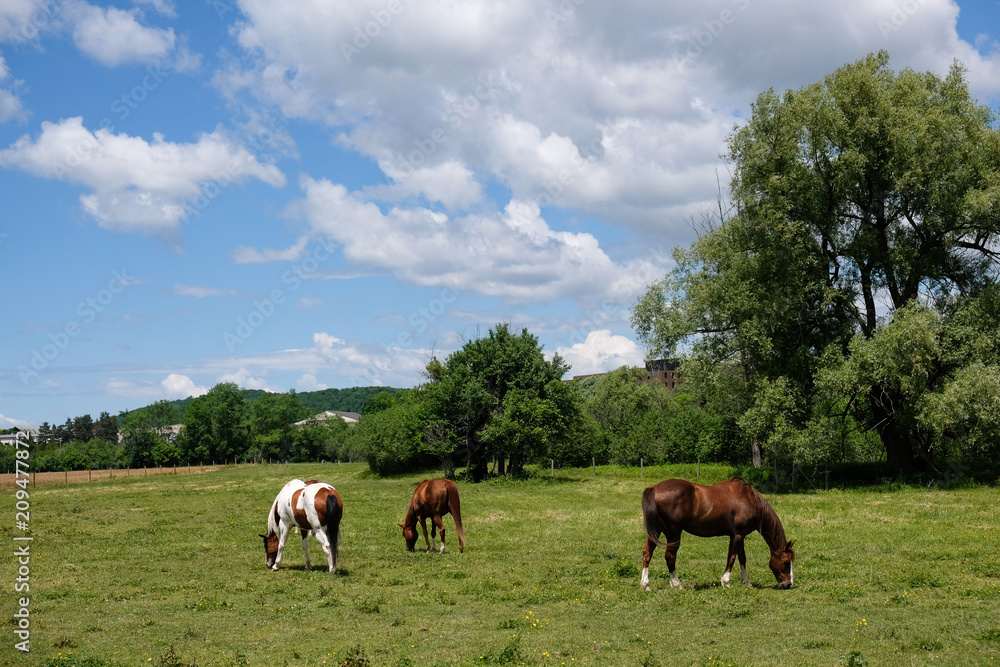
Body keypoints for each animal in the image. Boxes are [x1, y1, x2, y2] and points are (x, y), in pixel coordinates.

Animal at [640, 478, 796, 592]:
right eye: (786, 562)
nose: (788, 584)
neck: (749, 499)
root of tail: (654, 489)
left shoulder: (741, 536)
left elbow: (742, 558)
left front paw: (746, 582)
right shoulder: (737, 535)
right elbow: (732, 558)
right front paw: (726, 582)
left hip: (655, 531)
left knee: (647, 553)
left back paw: (645, 585)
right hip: (673, 534)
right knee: (670, 557)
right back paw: (677, 585)